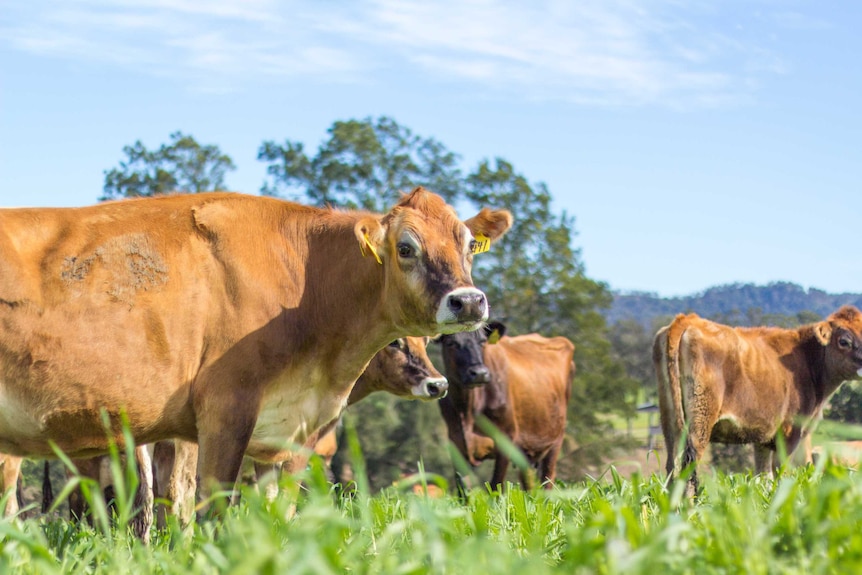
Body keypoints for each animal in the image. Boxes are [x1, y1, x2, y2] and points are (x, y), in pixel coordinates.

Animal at [0, 190, 512, 512]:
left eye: (469, 244)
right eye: (406, 247)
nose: (469, 301)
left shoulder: (292, 433)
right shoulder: (225, 410)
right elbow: (209, 511)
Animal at [442, 322, 576, 492]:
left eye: (482, 342)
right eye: (450, 343)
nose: (479, 373)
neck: (468, 410)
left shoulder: (506, 439)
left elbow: (495, 485)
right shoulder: (456, 443)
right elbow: (463, 489)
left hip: (556, 439)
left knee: (548, 477)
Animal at [656, 306, 862, 496]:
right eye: (844, 341)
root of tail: (689, 319)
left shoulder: (763, 438)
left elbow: (763, 478)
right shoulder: (789, 434)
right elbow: (782, 474)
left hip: (670, 421)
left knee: (672, 465)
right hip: (700, 421)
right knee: (688, 468)